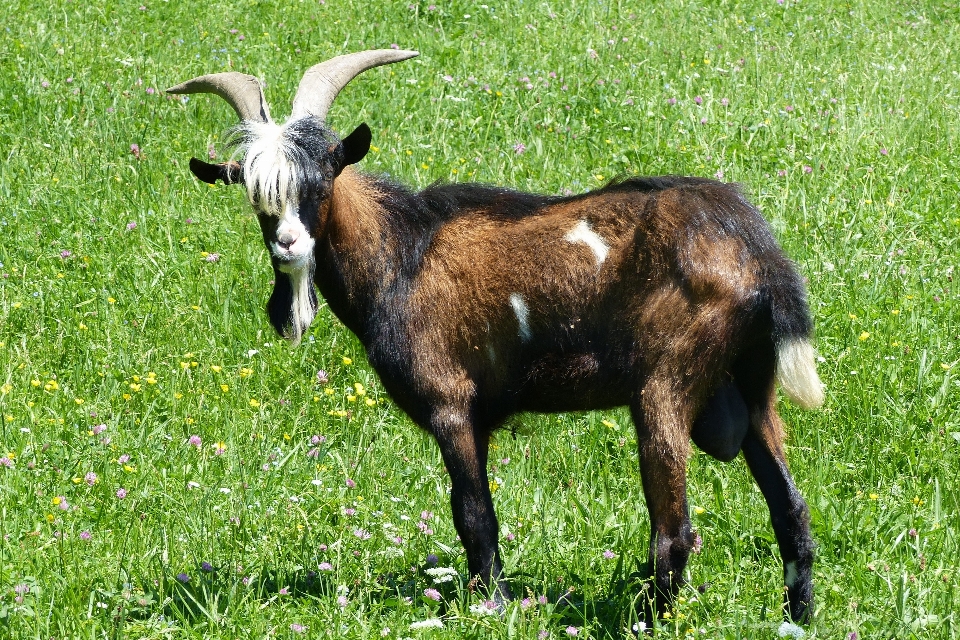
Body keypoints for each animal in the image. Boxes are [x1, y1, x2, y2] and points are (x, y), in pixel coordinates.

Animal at [167, 51, 824, 624]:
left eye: (323, 178)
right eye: (256, 195)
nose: (288, 245)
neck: (403, 253)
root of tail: (755, 249)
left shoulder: (451, 403)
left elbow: (474, 515)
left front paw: (494, 606)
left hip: (664, 385)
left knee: (674, 530)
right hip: (752, 385)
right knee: (790, 509)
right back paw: (797, 618)